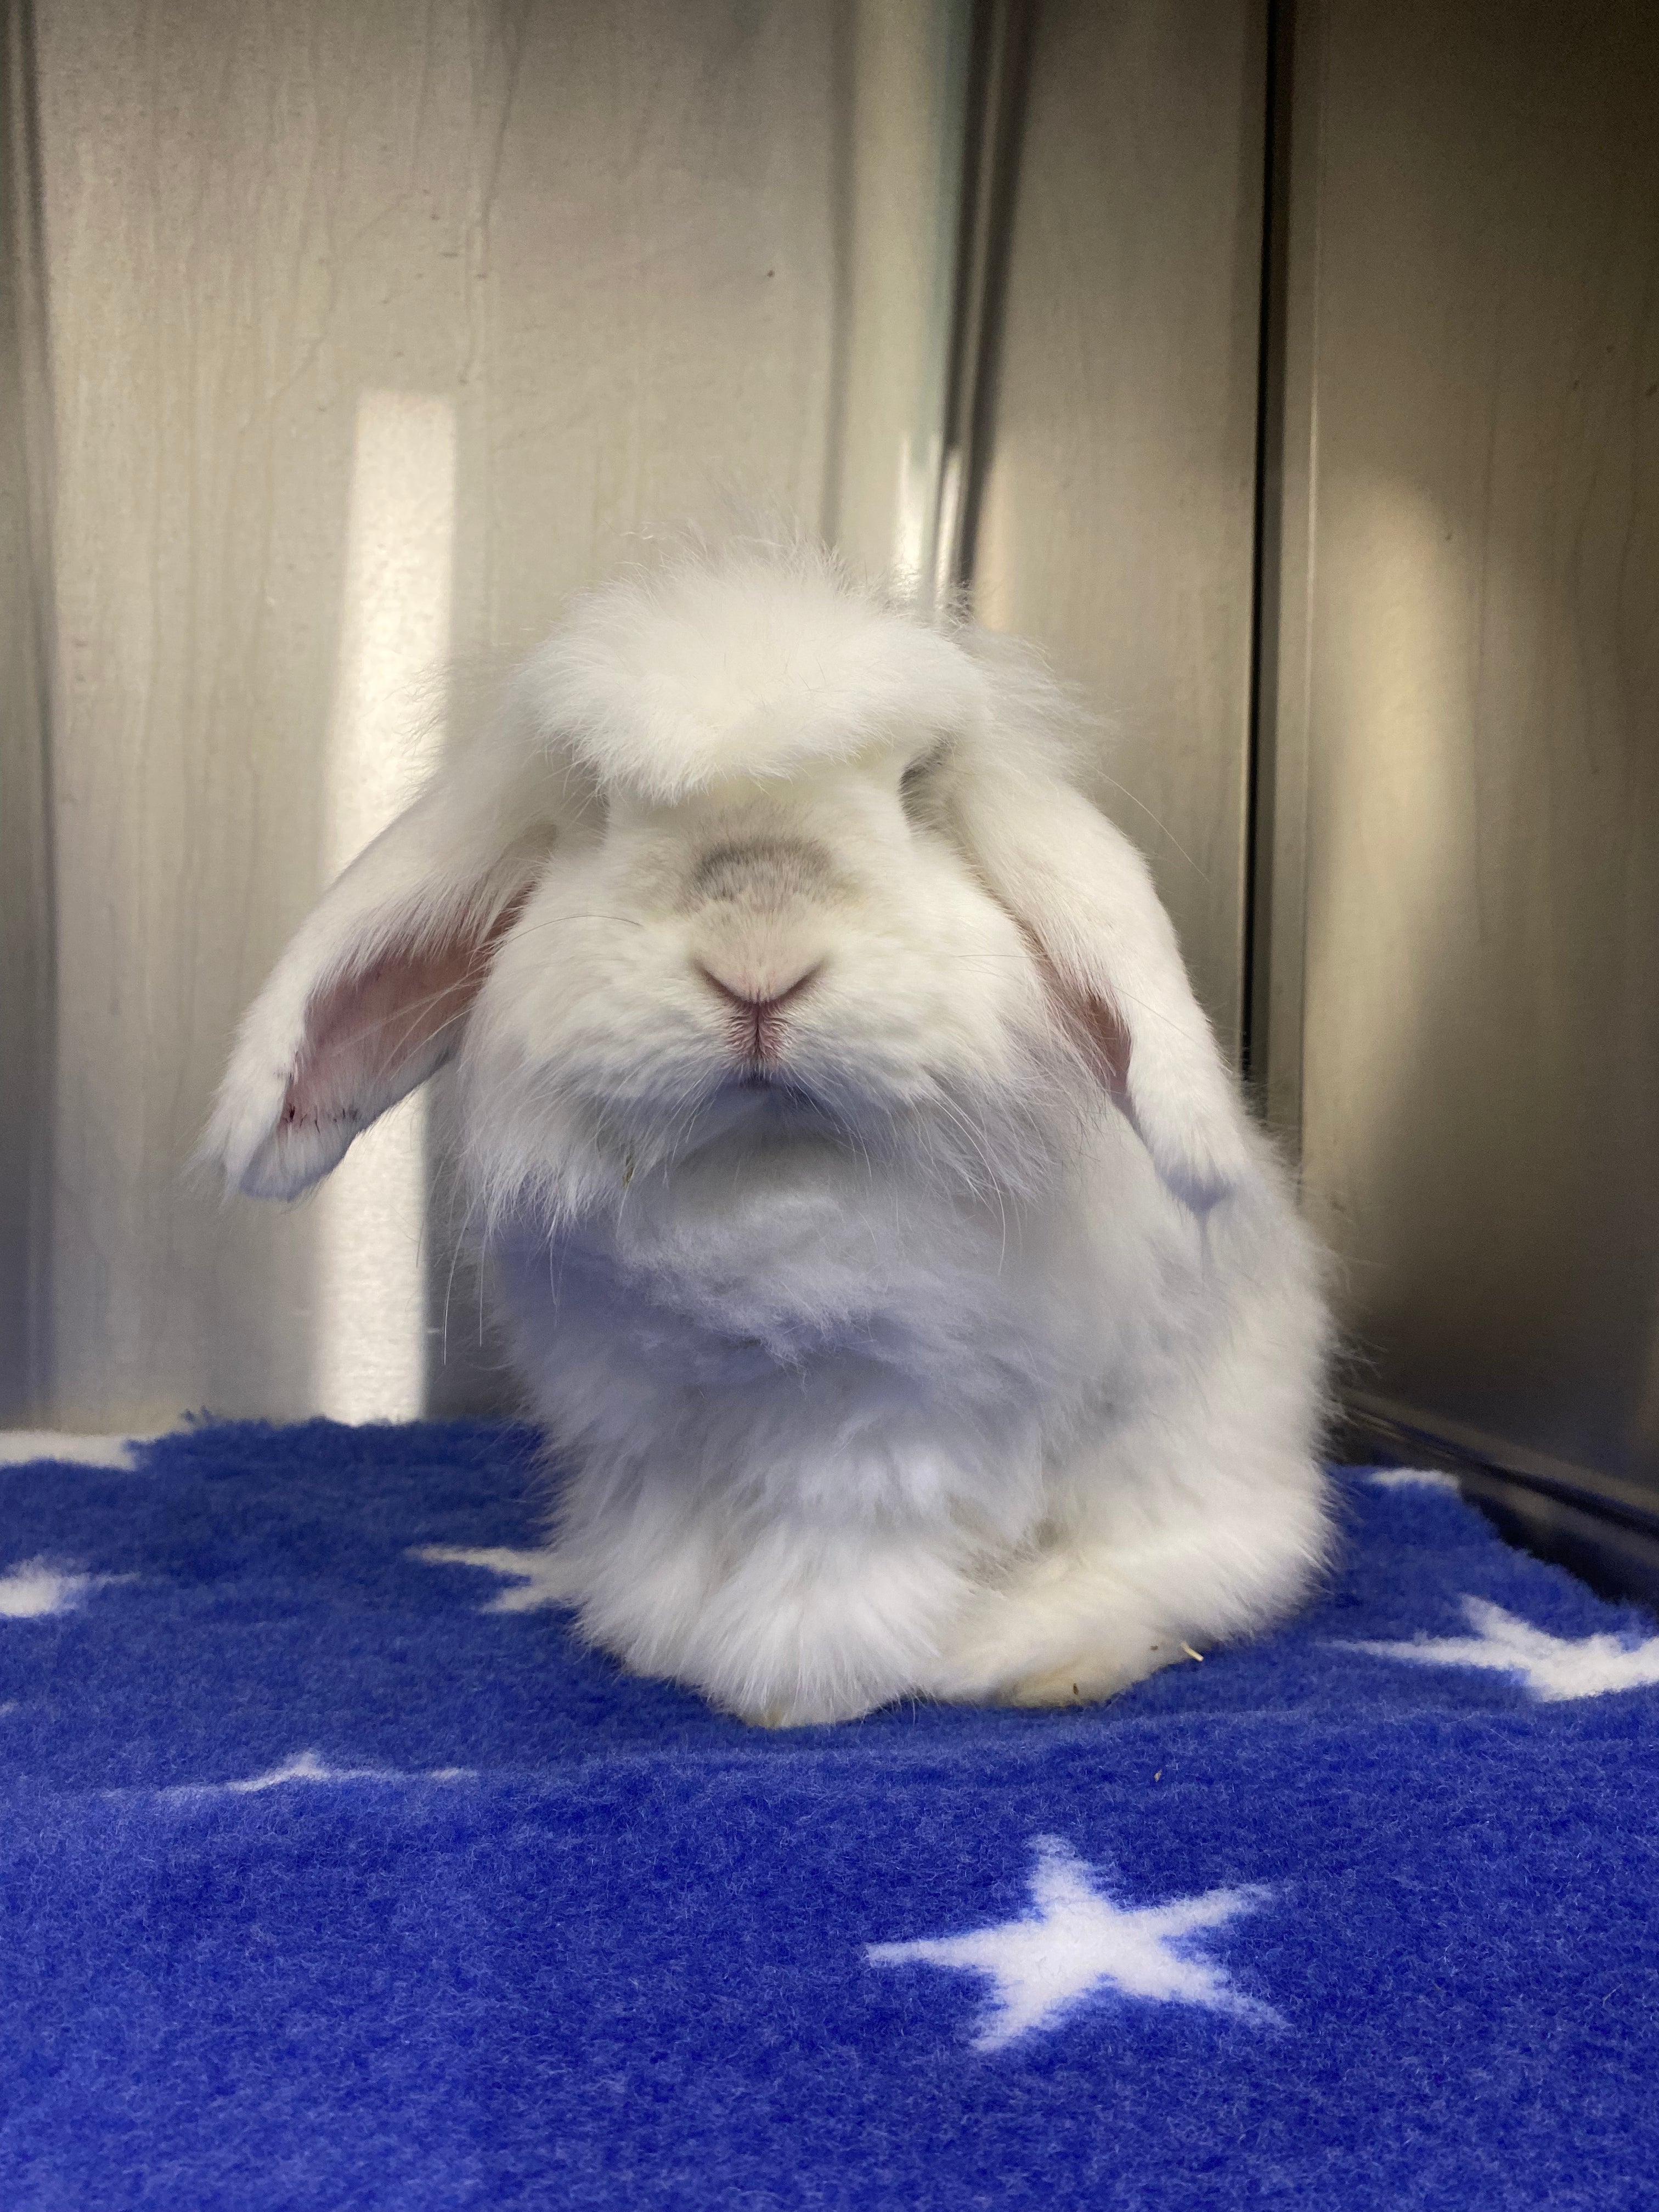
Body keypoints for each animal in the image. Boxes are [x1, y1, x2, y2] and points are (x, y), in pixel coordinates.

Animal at [207, 536, 1332, 1726]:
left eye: (915, 790)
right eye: (598, 804)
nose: (758, 967)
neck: (770, 1169)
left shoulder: (890, 1426)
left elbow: (834, 1553)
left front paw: (793, 1682)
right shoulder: (647, 1418)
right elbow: (679, 1538)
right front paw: (660, 1633)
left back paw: (1045, 1655)